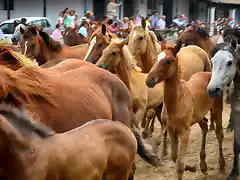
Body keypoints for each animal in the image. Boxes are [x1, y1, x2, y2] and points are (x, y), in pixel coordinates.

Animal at [146, 41, 225, 179]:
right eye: (155, 58)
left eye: (168, 61)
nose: (149, 80)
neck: (177, 102)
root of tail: (209, 74)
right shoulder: (171, 131)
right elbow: (174, 156)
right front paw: (191, 168)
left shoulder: (185, 132)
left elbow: (179, 164)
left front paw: (187, 167)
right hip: (198, 116)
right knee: (204, 126)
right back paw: (203, 165)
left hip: (217, 110)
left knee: (219, 133)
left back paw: (221, 164)